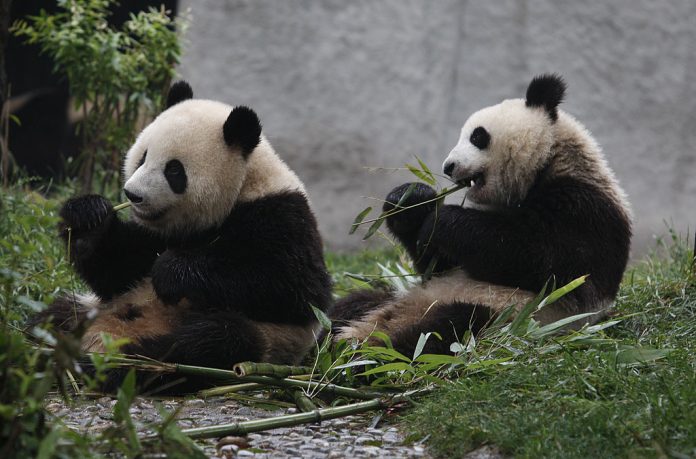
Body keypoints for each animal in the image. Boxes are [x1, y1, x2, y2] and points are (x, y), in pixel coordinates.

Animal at [34, 82, 334, 392]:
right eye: (142, 157)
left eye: (174, 170)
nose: (132, 194)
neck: (244, 186)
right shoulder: (156, 236)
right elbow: (117, 270)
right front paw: (87, 218)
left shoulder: (283, 217)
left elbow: (292, 286)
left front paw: (172, 272)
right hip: (91, 307)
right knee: (54, 315)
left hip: (265, 340)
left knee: (212, 341)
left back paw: (115, 364)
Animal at [330, 74, 632, 356]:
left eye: (477, 136)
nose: (448, 166)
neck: (549, 161)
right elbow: (438, 264)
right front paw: (410, 199)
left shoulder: (586, 208)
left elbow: (546, 259)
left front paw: (443, 220)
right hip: (391, 297)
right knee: (352, 302)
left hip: (498, 314)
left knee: (439, 331)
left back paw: (364, 354)